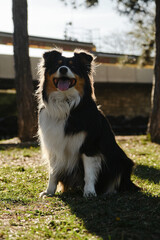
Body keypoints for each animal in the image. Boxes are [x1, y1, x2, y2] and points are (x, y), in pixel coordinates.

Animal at [37, 48, 139, 197]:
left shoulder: (90, 145)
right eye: (57, 64)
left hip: (122, 161)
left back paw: (110, 192)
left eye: (73, 66)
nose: (63, 69)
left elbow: (89, 172)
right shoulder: (54, 145)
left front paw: (89, 192)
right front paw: (49, 191)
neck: (66, 103)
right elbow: (53, 172)